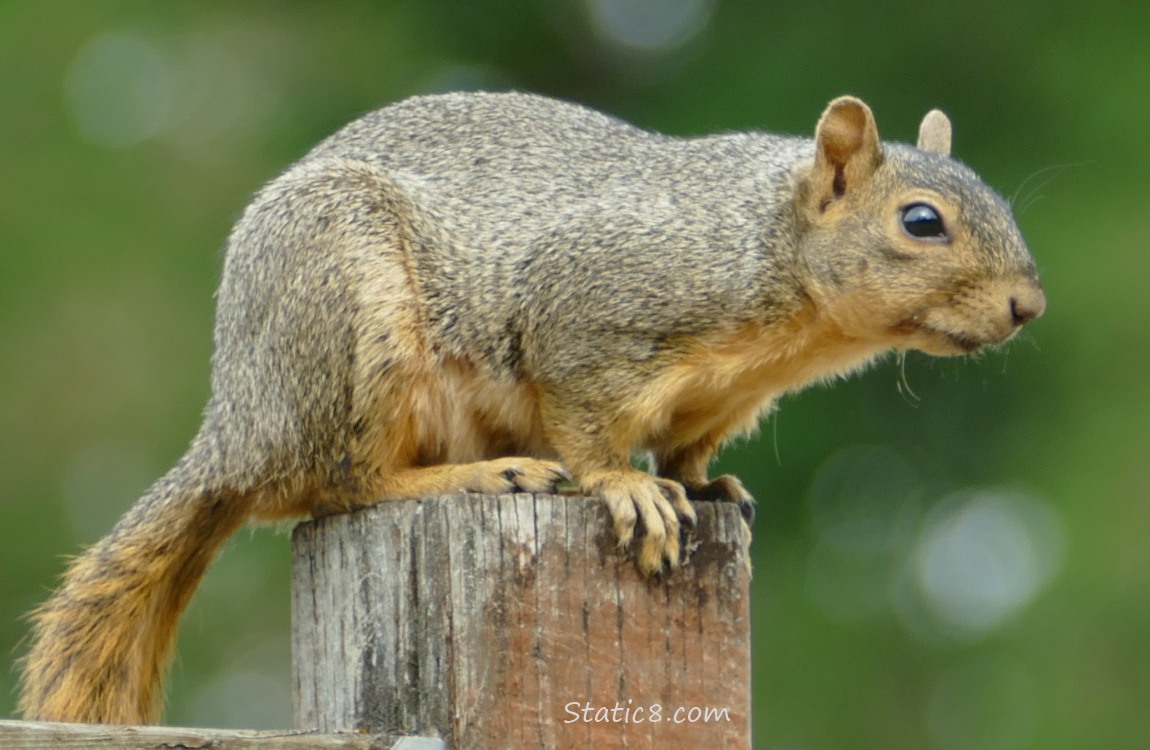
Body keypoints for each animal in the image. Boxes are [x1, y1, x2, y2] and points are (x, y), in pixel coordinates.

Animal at [17, 90, 1048, 722]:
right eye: (922, 221)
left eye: (1002, 203)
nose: (1027, 307)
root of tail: (234, 426)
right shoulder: (585, 317)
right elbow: (590, 428)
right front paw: (626, 490)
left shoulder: (716, 403)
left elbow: (689, 452)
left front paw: (708, 487)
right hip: (349, 316)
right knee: (339, 482)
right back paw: (483, 471)